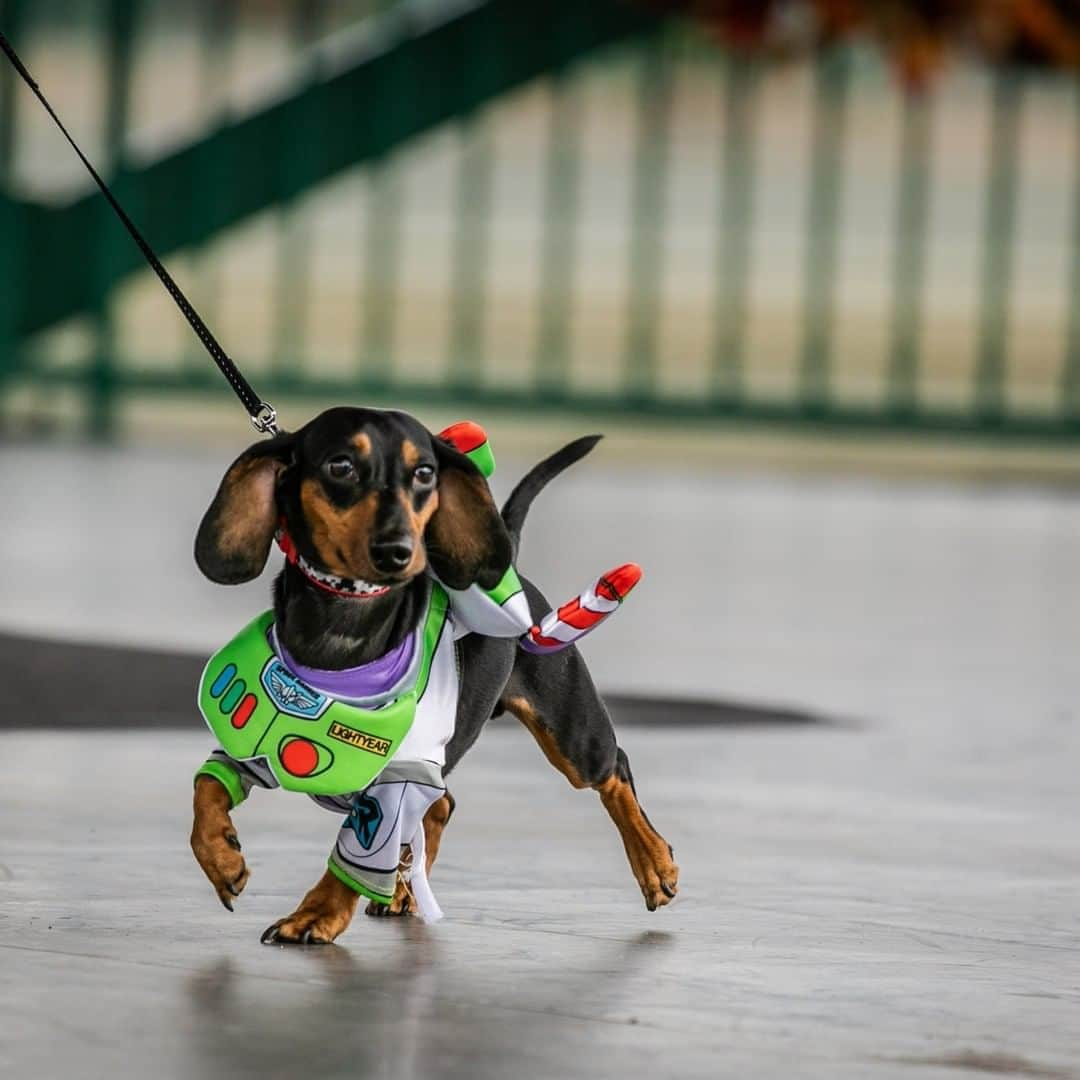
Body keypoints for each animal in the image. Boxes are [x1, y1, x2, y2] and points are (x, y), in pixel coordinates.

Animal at [186, 406, 673, 946]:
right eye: (340, 466)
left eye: (424, 473)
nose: (398, 550)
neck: (343, 635)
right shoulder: (252, 743)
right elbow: (205, 789)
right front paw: (222, 858)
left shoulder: (397, 781)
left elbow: (354, 854)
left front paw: (314, 915)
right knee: (443, 806)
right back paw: (403, 892)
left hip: (571, 733)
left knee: (614, 770)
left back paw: (654, 864)